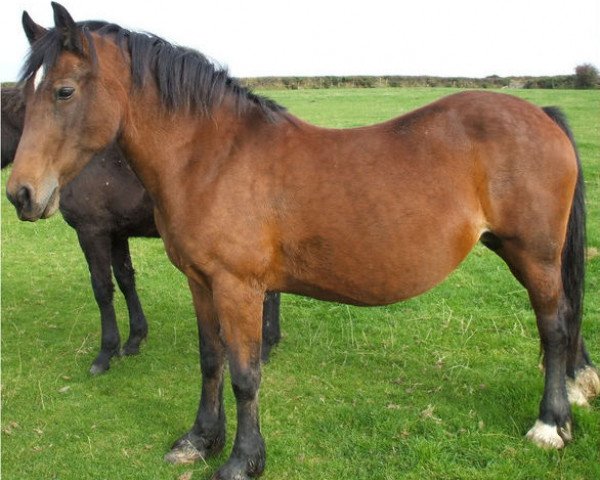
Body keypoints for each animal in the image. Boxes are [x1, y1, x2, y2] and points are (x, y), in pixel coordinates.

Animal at [0, 87, 282, 376]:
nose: (20, 197)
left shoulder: (91, 232)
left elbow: (102, 288)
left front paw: (106, 353)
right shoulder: (116, 233)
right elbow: (126, 280)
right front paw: (135, 339)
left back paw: (265, 347)